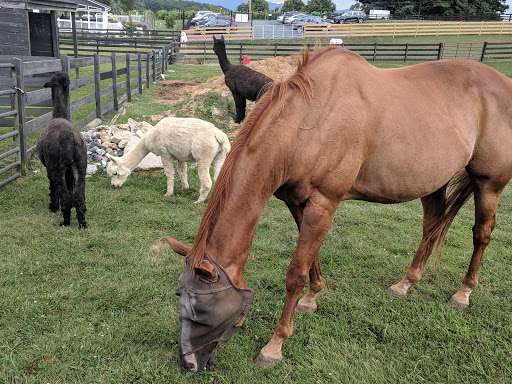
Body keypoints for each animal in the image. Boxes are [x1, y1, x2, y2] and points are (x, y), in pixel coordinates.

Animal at [167, 45, 512, 372]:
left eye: (201, 308)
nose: (189, 363)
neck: (310, 120)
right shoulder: (299, 202)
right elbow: (311, 258)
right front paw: (312, 297)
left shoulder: (324, 202)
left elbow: (295, 272)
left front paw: (274, 346)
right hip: (433, 183)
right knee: (431, 228)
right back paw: (406, 283)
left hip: (488, 184)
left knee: (481, 234)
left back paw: (463, 293)